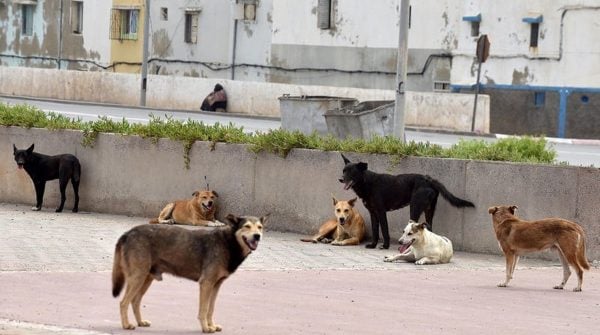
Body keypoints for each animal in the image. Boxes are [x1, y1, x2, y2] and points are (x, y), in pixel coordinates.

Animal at [113, 215, 268, 334]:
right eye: (247, 226)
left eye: (260, 227)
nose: (257, 236)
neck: (229, 242)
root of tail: (127, 233)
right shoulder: (206, 283)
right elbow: (203, 310)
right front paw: (206, 328)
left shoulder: (216, 285)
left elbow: (211, 309)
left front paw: (211, 325)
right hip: (137, 278)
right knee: (123, 302)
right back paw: (126, 325)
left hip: (146, 279)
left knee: (135, 301)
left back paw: (140, 322)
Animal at [338, 154, 474, 249]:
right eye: (343, 170)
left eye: (352, 171)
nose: (340, 179)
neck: (367, 182)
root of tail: (428, 179)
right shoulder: (373, 213)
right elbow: (375, 231)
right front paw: (373, 245)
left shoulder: (381, 212)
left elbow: (384, 230)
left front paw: (385, 246)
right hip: (429, 210)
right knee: (429, 228)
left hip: (414, 207)